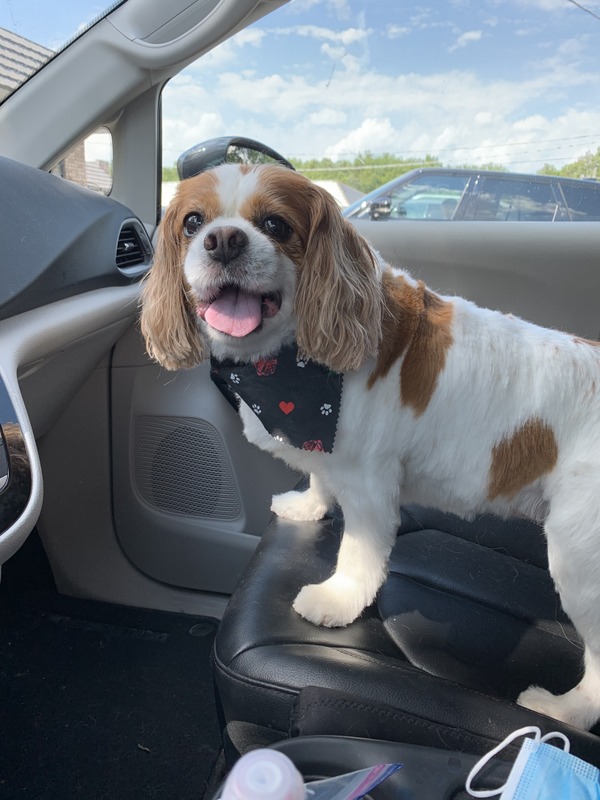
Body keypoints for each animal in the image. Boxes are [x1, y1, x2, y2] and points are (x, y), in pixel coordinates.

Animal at [141, 162, 600, 731]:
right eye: (192, 223)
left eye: (275, 225)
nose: (223, 239)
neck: (289, 367)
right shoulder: (325, 442)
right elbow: (319, 473)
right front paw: (310, 506)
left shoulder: (369, 484)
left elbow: (360, 552)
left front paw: (336, 600)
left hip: (581, 555)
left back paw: (567, 709)